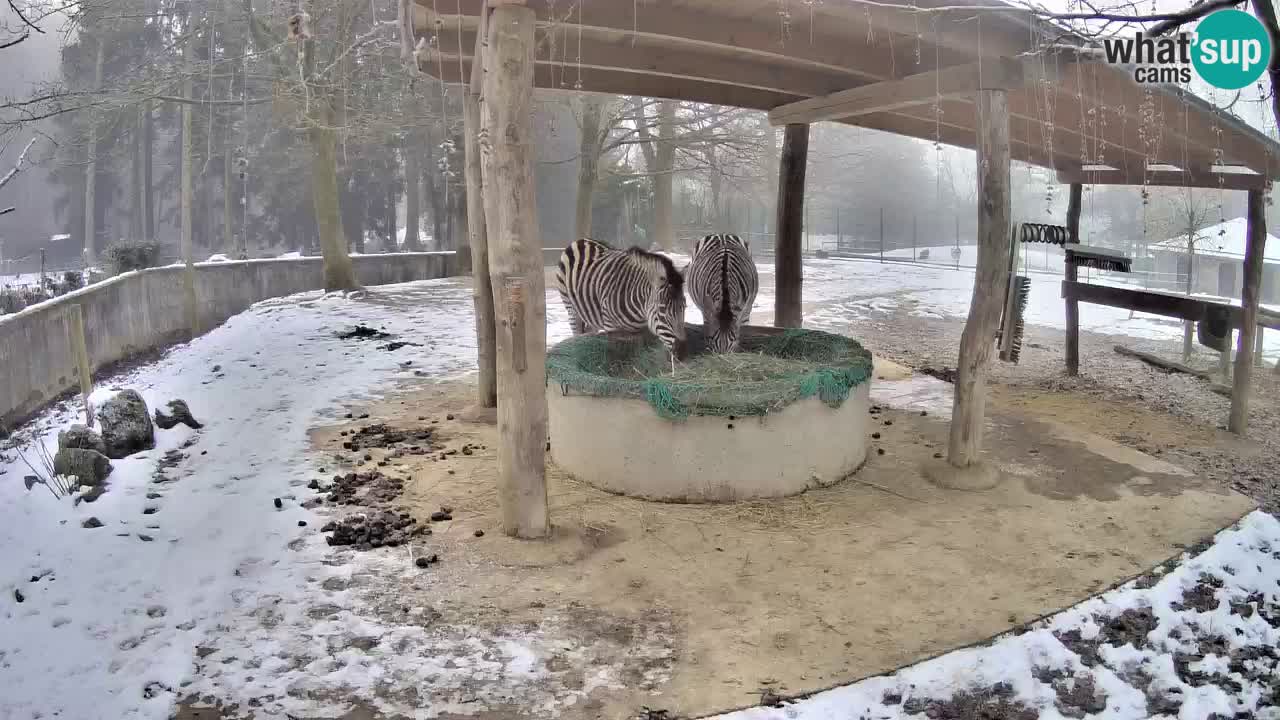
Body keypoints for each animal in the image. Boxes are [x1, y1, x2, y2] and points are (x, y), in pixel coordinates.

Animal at [552, 239, 691, 361]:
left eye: (684, 307)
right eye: (662, 310)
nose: (683, 351)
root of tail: (580, 241)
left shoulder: (641, 331)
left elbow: (637, 353)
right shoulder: (610, 328)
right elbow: (614, 354)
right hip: (571, 308)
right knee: (576, 332)